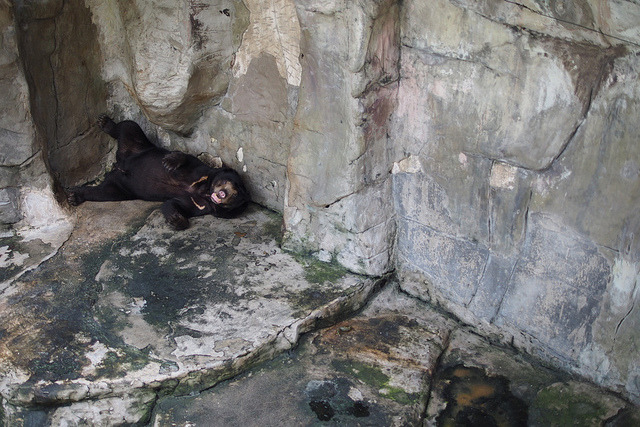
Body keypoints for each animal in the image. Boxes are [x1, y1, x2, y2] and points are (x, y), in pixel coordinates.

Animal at [66, 115, 250, 230]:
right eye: (228, 182)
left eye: (235, 194)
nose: (223, 193)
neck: (205, 191)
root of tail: (118, 165)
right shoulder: (201, 172)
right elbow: (187, 159)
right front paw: (169, 162)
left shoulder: (203, 205)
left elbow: (176, 204)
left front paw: (177, 220)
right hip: (137, 146)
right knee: (128, 126)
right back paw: (105, 122)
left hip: (120, 188)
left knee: (103, 193)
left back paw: (74, 196)